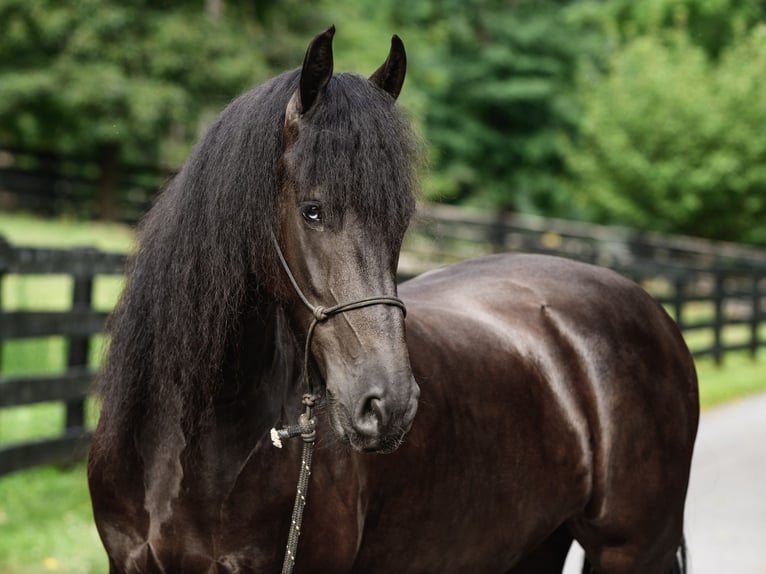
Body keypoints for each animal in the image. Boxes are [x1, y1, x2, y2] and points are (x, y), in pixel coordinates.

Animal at [88, 27, 699, 574]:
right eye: (312, 210)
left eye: (400, 221)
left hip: (634, 552)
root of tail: (652, 309)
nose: (389, 406)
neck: (191, 445)